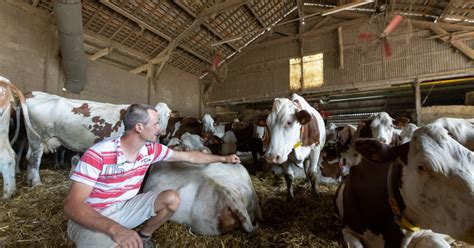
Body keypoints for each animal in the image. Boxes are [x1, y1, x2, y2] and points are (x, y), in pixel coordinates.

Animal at [24, 91, 171, 186]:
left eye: (169, 115)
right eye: (157, 117)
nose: (162, 131)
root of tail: (34, 94)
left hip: (32, 139)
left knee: (28, 156)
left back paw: (29, 180)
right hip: (38, 137)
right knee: (34, 158)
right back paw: (36, 182)